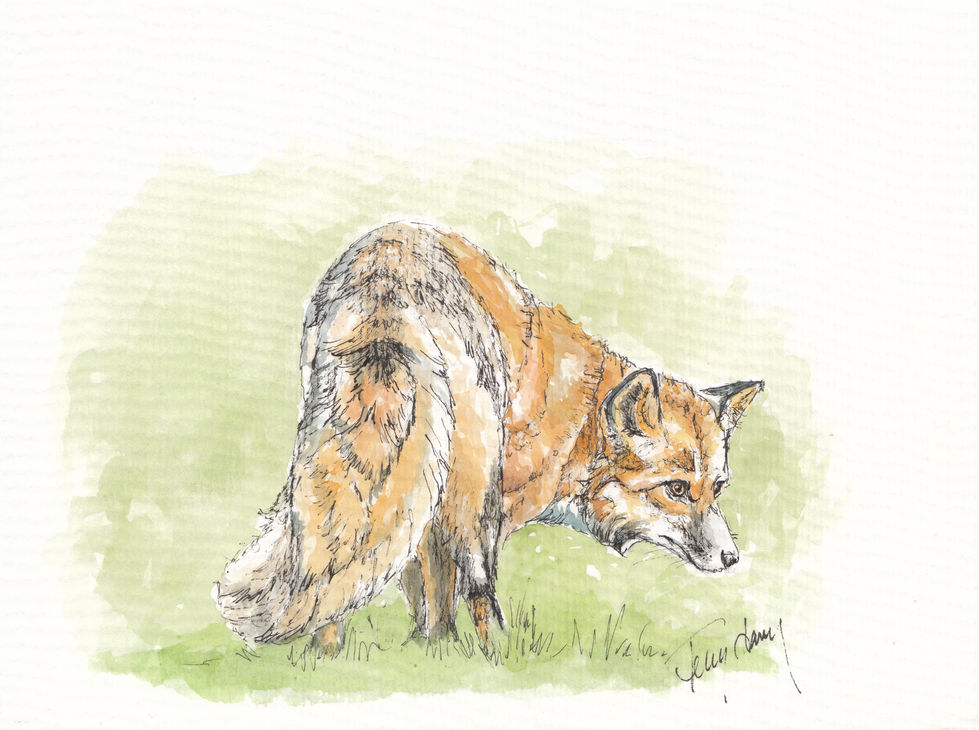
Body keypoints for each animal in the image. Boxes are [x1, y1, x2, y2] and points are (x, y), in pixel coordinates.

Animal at [214, 221, 763, 655]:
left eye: (717, 488)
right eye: (676, 489)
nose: (732, 558)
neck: (580, 422)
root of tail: (385, 270)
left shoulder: (426, 501)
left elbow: (424, 593)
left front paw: (428, 654)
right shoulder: (485, 507)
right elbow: (454, 589)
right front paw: (458, 658)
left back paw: (323, 656)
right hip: (474, 487)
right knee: (479, 587)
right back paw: (499, 658)